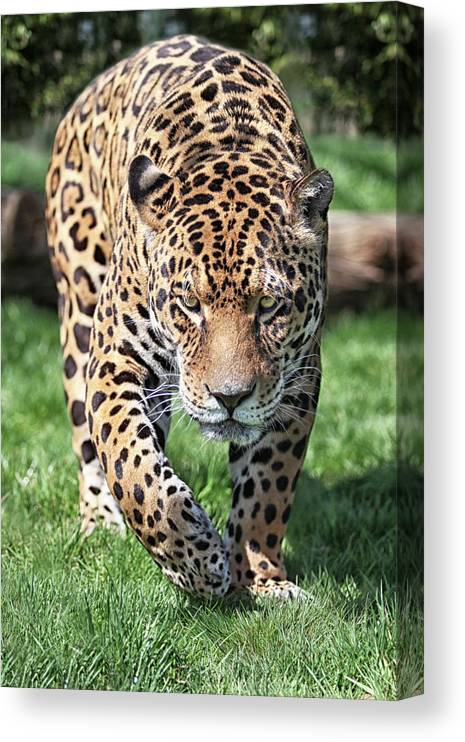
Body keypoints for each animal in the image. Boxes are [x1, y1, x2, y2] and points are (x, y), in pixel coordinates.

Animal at [45, 35, 334, 601]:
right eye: (189, 305)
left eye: (269, 306)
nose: (230, 398)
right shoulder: (115, 361)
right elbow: (133, 469)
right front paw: (198, 562)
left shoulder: (297, 378)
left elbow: (269, 485)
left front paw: (259, 579)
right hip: (79, 312)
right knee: (89, 443)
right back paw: (100, 522)